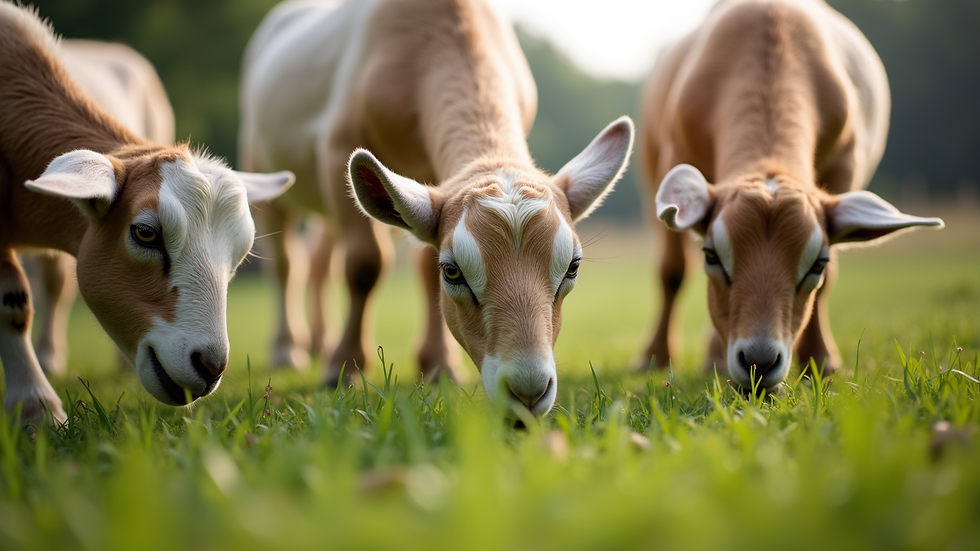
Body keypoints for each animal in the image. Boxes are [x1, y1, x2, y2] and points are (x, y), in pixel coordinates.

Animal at [240, 0, 633, 417]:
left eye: (572, 267)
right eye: (453, 271)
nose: (527, 391)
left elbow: (418, 269)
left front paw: (440, 368)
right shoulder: (337, 146)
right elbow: (365, 264)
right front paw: (344, 370)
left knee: (319, 256)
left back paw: (319, 341)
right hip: (261, 160)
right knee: (287, 261)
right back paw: (289, 351)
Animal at [639, 0, 943, 390]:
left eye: (818, 263)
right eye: (711, 256)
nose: (758, 361)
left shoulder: (843, 171)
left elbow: (829, 281)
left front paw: (820, 362)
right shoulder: (674, 156)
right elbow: (672, 270)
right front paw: (655, 358)